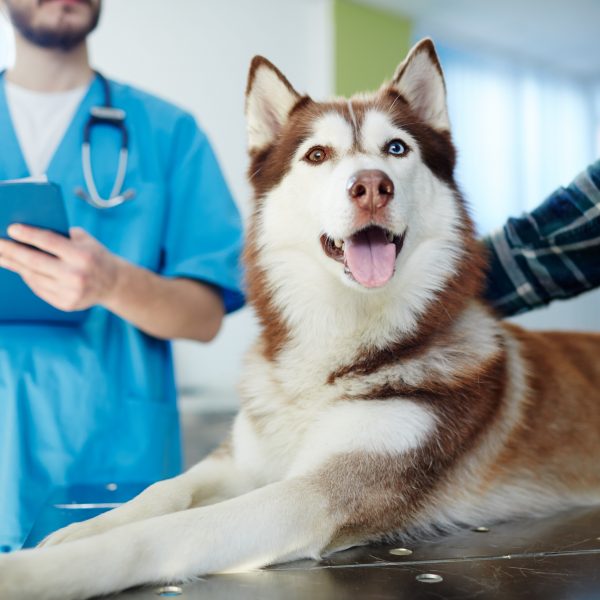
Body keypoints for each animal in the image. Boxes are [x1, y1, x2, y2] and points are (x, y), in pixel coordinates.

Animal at [1, 38, 600, 600]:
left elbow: (164, 534)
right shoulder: (239, 463)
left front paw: (38, 571)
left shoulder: (318, 493)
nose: (371, 185)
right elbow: (162, 491)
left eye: (397, 148)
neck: (334, 344)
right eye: (316, 154)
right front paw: (82, 528)